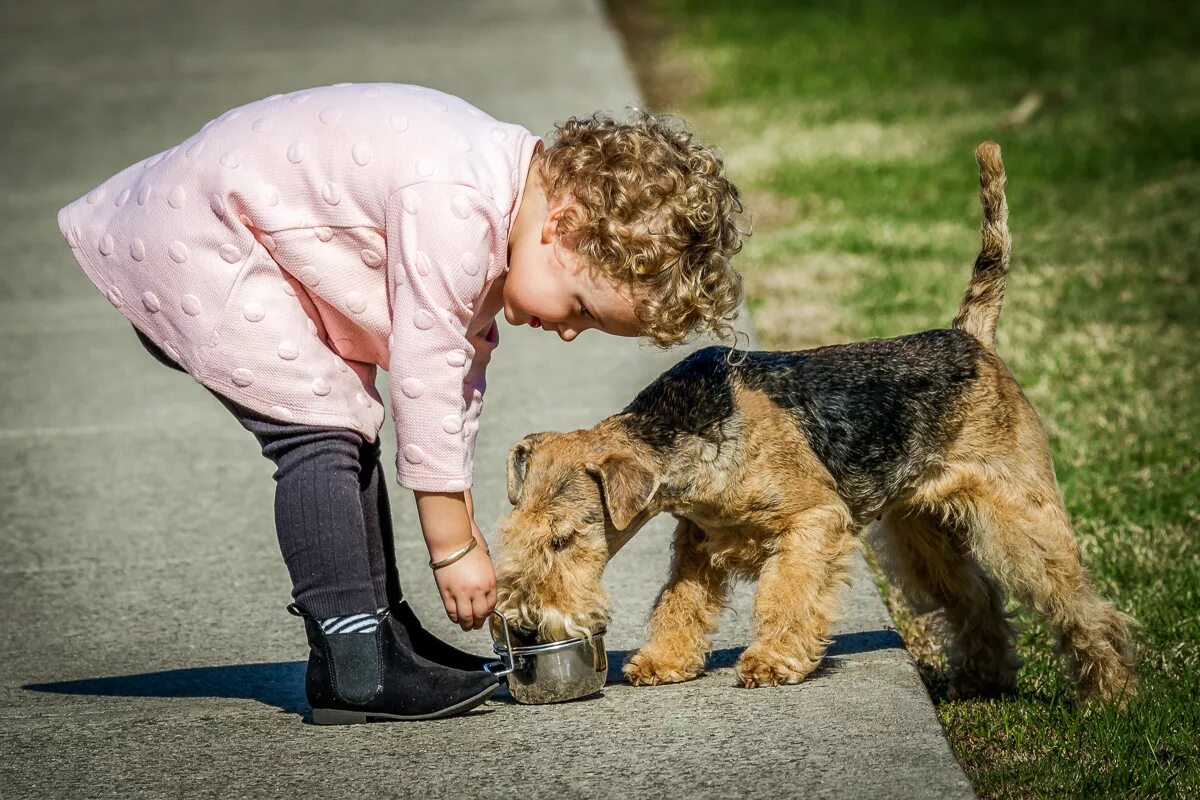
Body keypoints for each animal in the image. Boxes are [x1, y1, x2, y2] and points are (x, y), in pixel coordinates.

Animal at [492, 140, 1137, 705]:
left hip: (1019, 510)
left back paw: (1110, 693)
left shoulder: (813, 521)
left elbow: (786, 596)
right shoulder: (698, 540)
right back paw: (984, 680)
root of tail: (971, 336)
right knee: (976, 597)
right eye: (513, 535)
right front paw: (661, 661)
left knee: (1078, 602)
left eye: (563, 538)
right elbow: (679, 603)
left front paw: (770, 662)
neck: (689, 431)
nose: (525, 625)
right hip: (921, 528)